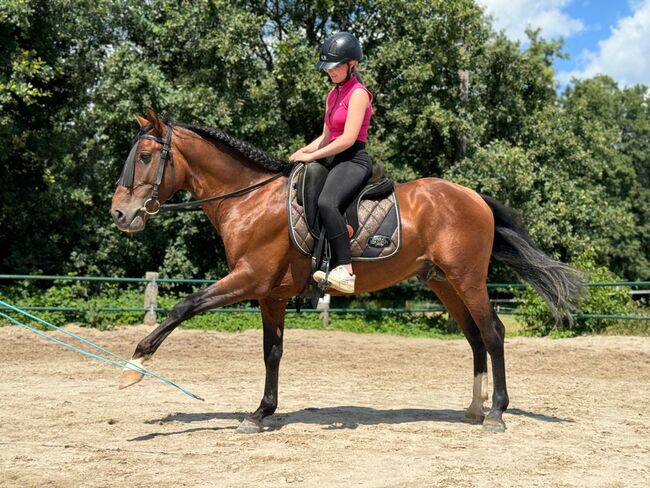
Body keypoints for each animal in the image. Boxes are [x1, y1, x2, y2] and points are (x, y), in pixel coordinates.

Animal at [109, 108, 580, 432]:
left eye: (146, 156)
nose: (119, 214)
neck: (249, 200)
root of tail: (475, 197)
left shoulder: (248, 280)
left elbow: (184, 306)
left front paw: (134, 366)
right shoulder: (270, 294)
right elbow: (272, 352)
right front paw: (261, 413)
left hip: (468, 279)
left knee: (493, 333)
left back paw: (496, 413)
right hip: (446, 285)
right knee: (475, 337)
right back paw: (475, 408)